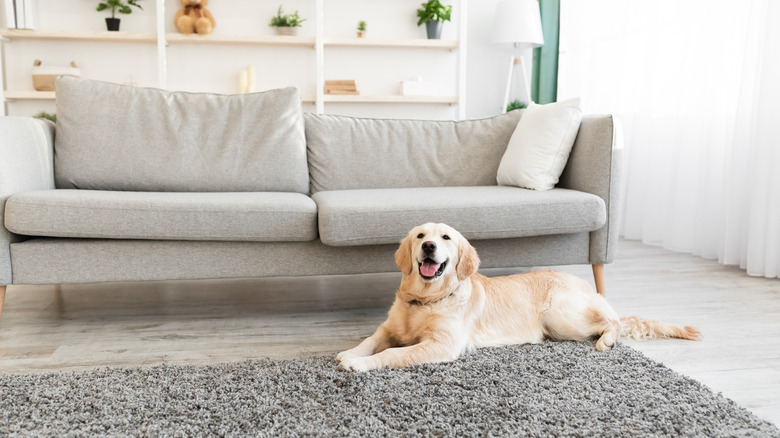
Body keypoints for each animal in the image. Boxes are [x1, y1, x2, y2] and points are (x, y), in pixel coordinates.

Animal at [336, 222, 700, 370]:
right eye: (420, 235)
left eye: (446, 238)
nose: (428, 246)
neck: (425, 300)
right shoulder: (389, 328)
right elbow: (371, 339)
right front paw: (349, 353)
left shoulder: (441, 345)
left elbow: (392, 354)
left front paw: (360, 364)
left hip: (560, 315)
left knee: (615, 322)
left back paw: (606, 340)